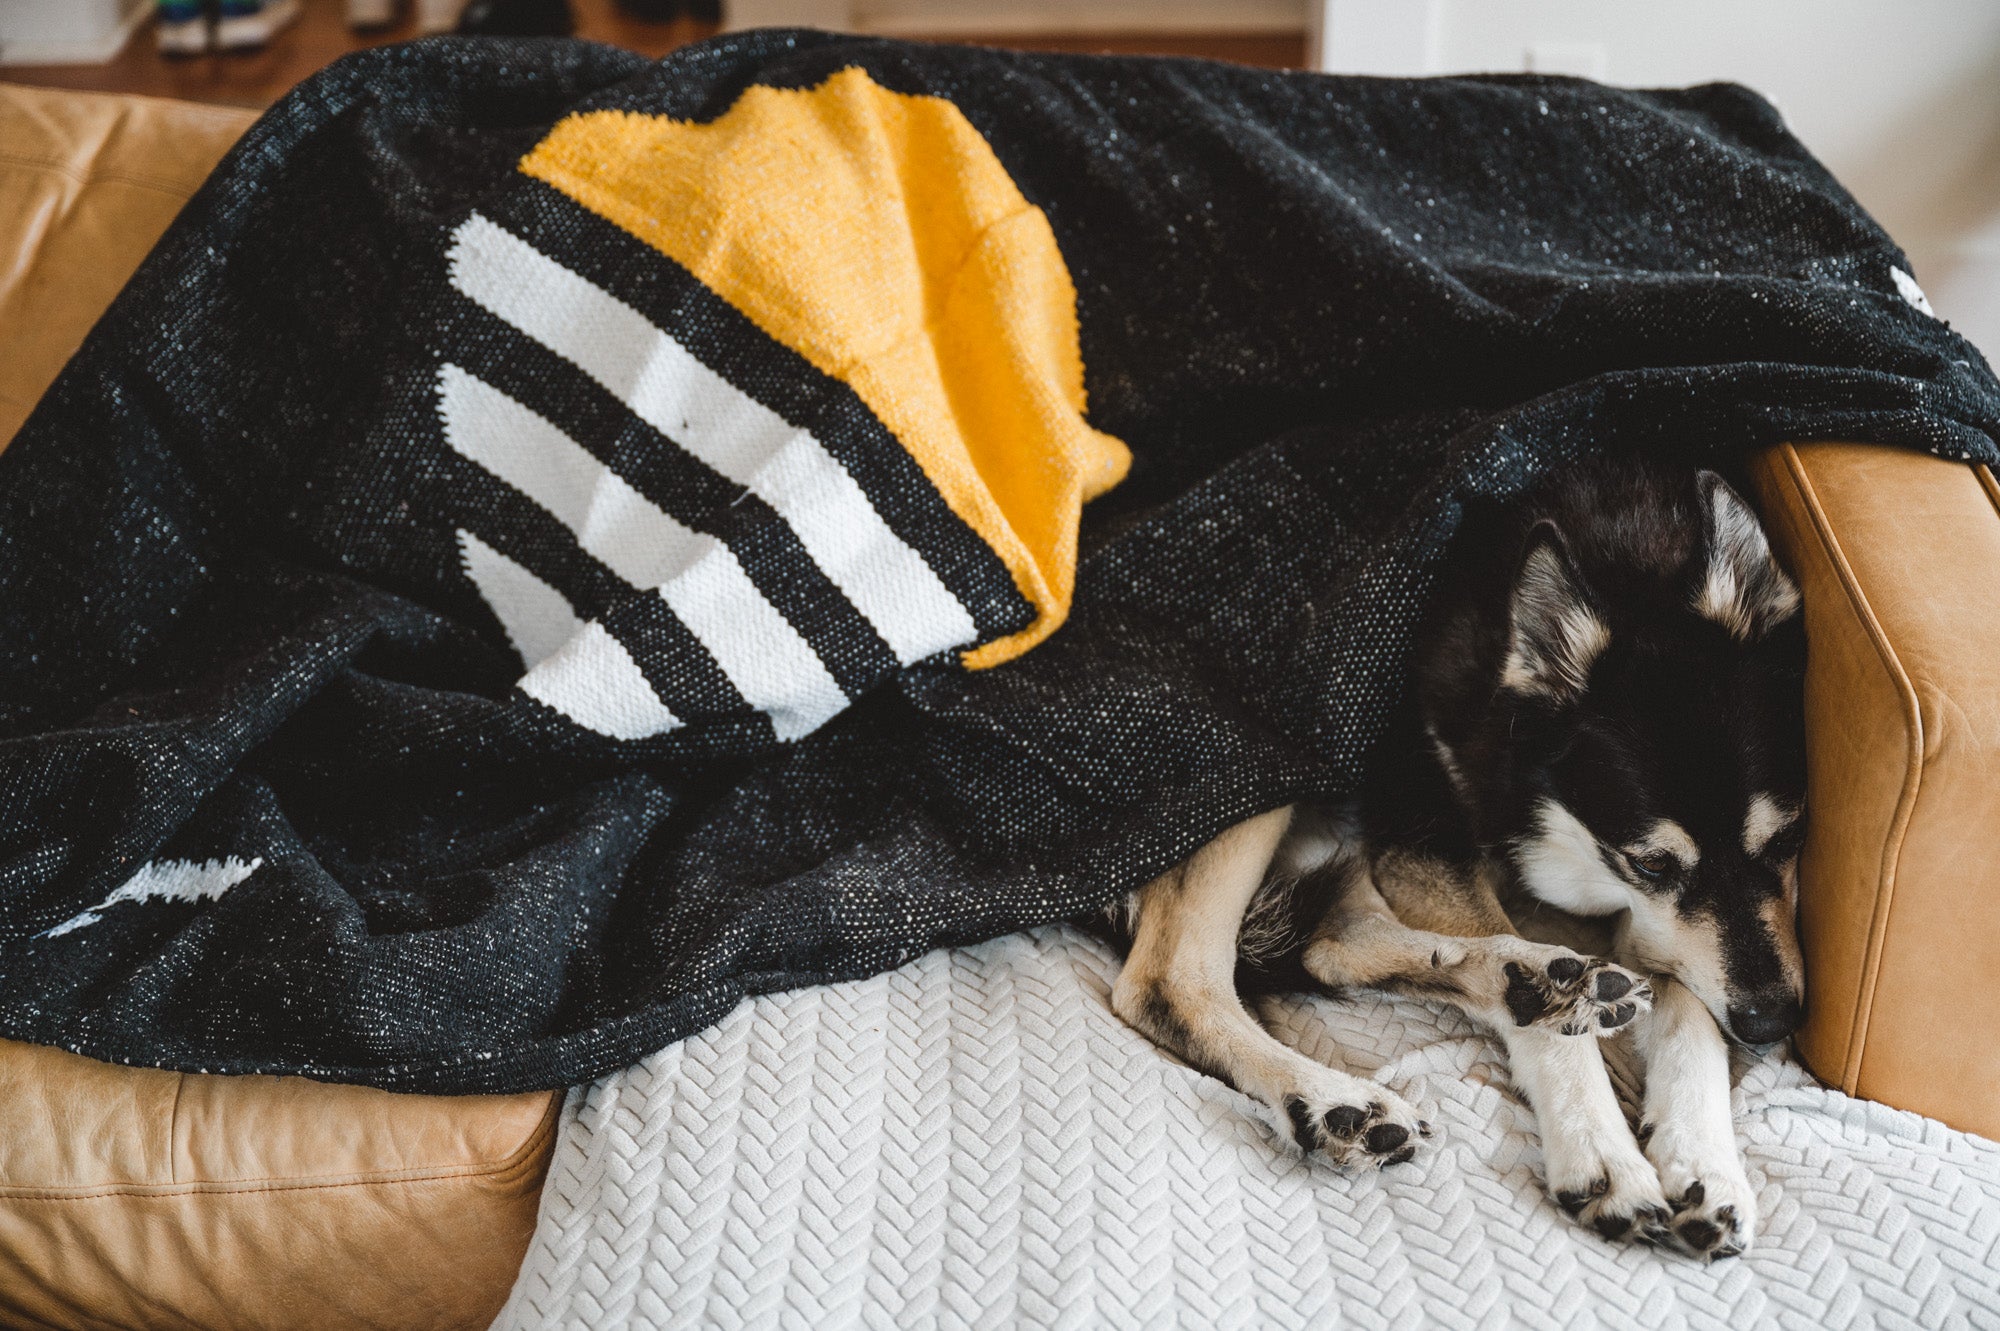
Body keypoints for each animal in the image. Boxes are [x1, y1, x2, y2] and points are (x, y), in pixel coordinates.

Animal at [1112, 455, 1816, 1255]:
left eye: (1790, 837)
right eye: (1652, 864)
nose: (1771, 1023)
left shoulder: (1659, 925)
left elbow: (1690, 1005)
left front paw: (1705, 1162)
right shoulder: (1424, 832)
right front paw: (1602, 1151)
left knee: (1331, 947)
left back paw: (1536, 981)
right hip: (1262, 776)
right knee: (1172, 982)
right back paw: (1334, 1100)